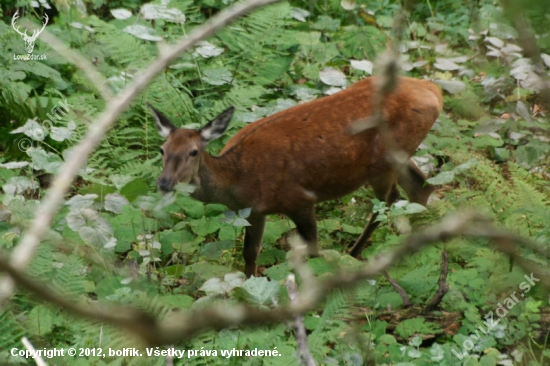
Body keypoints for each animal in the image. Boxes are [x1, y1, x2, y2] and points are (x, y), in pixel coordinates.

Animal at [150, 76, 444, 278]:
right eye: (162, 149)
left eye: (193, 152)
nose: (164, 182)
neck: (238, 180)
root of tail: (435, 93)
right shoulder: (255, 211)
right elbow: (250, 253)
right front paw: (248, 287)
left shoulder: (299, 199)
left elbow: (313, 248)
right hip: (400, 156)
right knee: (420, 188)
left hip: (384, 163)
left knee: (390, 200)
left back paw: (355, 252)